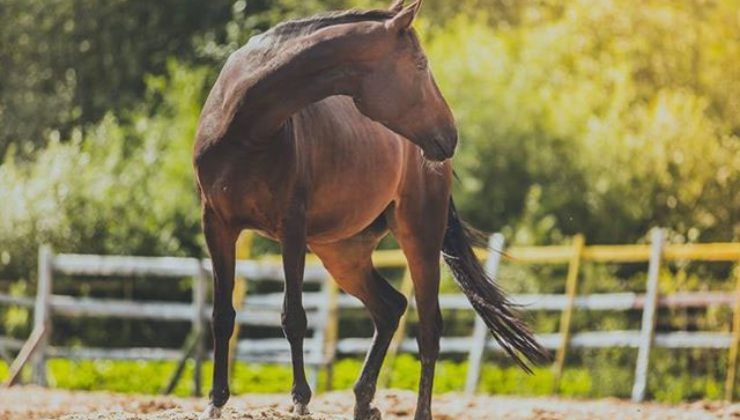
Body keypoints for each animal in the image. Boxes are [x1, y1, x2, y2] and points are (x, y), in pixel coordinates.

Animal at [194, 1, 548, 418]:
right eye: (420, 65)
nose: (451, 135)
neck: (245, 123)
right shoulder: (217, 225)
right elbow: (222, 316)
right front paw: (216, 401)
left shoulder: (291, 228)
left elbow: (293, 317)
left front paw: (301, 401)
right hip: (342, 254)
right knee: (390, 308)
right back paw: (364, 401)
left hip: (419, 239)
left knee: (428, 328)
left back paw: (416, 411)